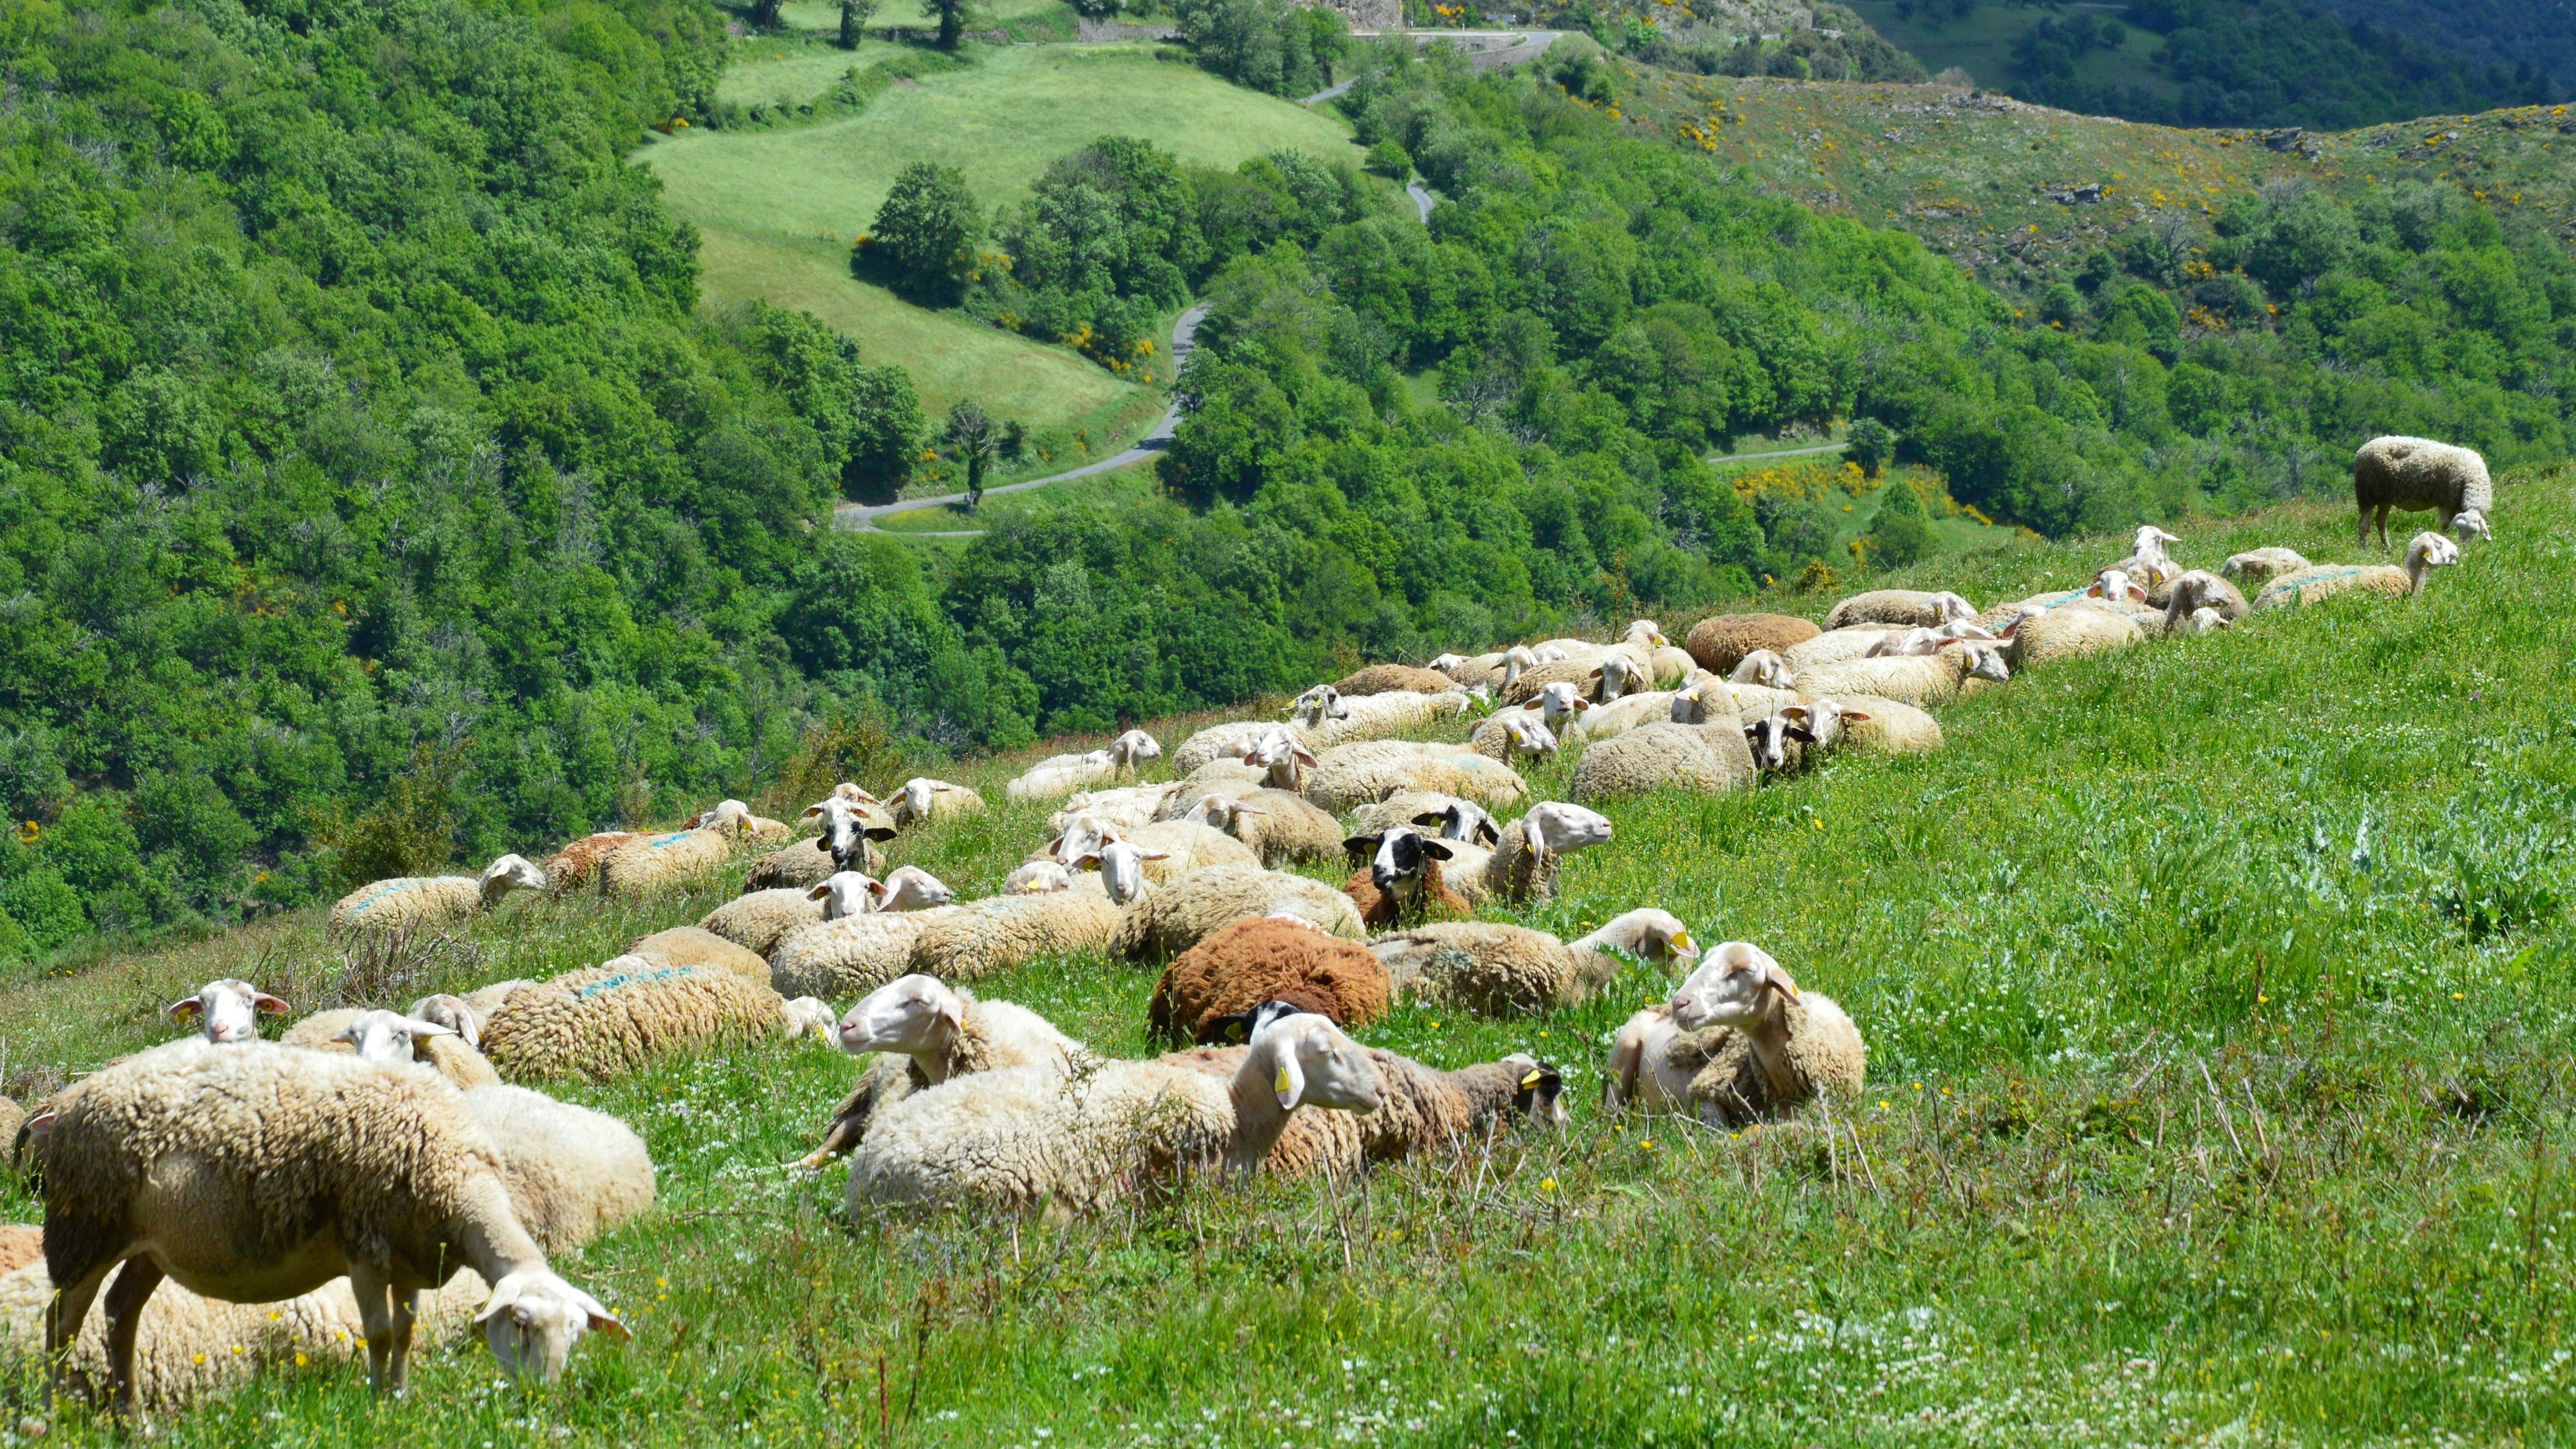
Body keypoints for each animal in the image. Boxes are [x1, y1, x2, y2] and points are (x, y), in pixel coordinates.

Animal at [36, 1039, 628, 1412]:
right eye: (521, 1324)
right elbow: (380, 1334)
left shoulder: (411, 1254)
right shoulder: (364, 1247)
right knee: (60, 1325)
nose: (541, 1398)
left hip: (150, 1248)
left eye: (576, 1333)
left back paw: (132, 1419)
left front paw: (401, 1398)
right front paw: (377, 1407)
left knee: (121, 1314)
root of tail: (66, 1102)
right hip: (84, 1229)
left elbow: (406, 1332)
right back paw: (51, 1417)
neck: (453, 1177)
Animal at [2354, 435, 2494, 548]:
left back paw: (2387, 548)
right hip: (2367, 493)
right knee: (2363, 524)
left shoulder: (2454, 505)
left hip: (2385, 497)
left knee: (2381, 521)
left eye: (2475, 532)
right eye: (2459, 528)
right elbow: (2445, 525)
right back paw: (2364, 548)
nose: (2464, 547)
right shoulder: (2444, 501)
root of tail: (2364, 448)